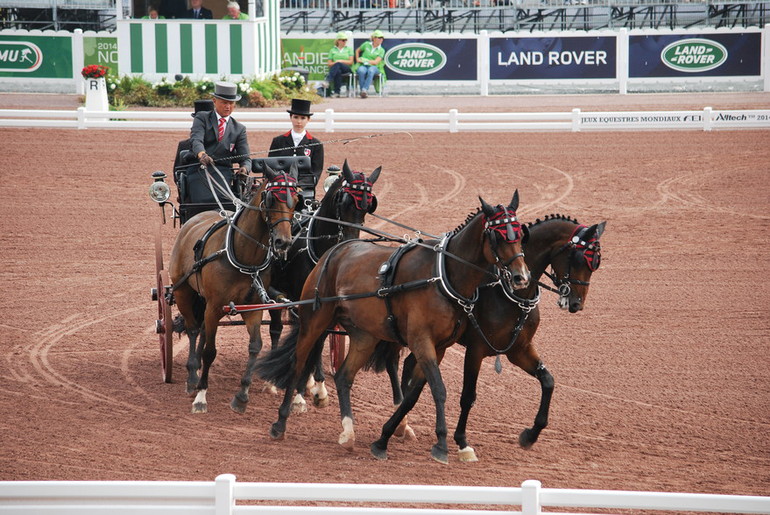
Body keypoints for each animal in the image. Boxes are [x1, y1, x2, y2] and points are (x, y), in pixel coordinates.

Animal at [170, 165, 298, 416]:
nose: (283, 242)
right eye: (271, 198)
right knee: (193, 329)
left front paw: (242, 396)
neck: (243, 257)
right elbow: (211, 351)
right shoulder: (214, 306)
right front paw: (201, 395)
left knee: (201, 331)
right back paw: (192, 376)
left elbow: (255, 347)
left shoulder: (253, 308)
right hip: (182, 292)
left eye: (297, 200)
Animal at [255, 192, 532, 464]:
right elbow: (438, 389)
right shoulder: (421, 341)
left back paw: (348, 432)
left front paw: (388, 437)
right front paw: (441, 444)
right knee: (299, 363)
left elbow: (414, 392)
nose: (521, 277)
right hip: (315, 321)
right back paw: (281, 421)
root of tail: (336, 250)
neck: (441, 276)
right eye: (497, 235)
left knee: (344, 376)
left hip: (364, 336)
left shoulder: (439, 347)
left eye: (520, 234)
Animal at [392, 214, 604, 464]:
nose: (576, 304)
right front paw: (462, 442)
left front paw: (530, 435)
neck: (509, 291)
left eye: (596, 262)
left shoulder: (519, 350)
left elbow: (548, 381)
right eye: (579, 258)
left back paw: (402, 425)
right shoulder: (476, 350)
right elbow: (468, 396)